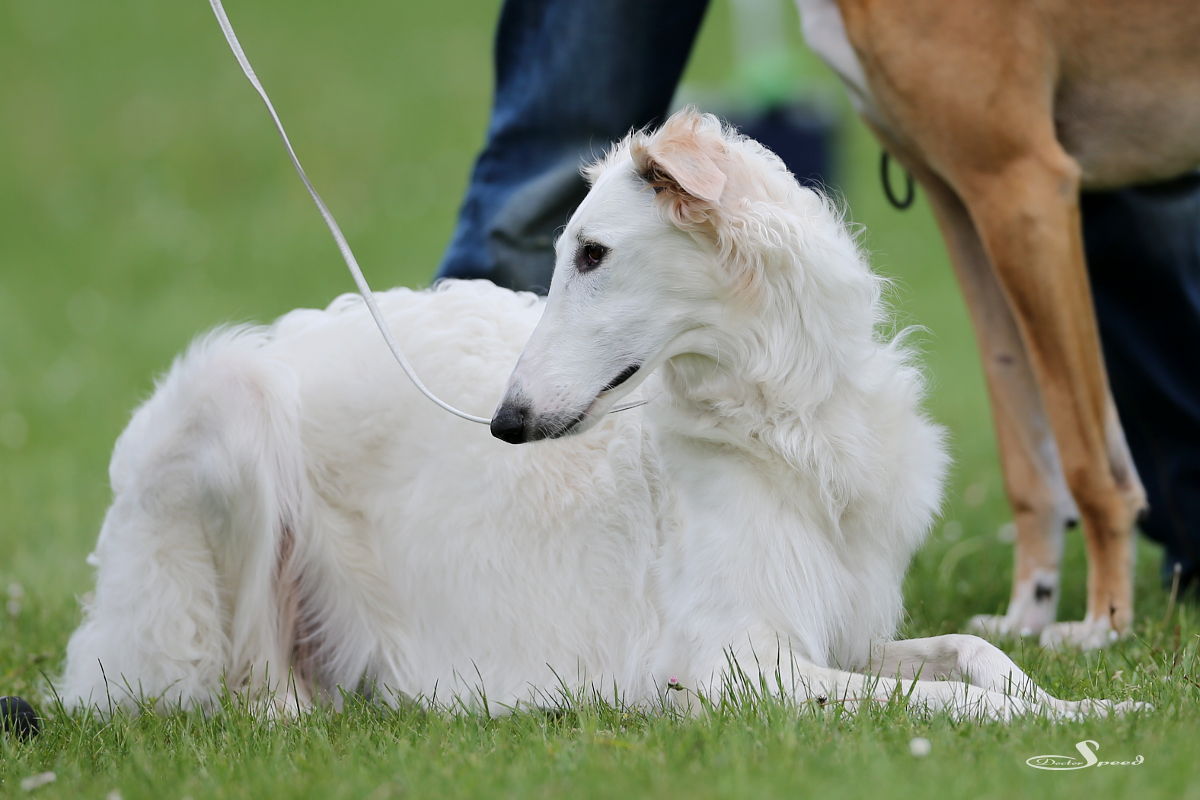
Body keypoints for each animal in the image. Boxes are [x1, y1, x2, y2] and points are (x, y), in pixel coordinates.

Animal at [58, 110, 1133, 720]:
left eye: (593, 253)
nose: (507, 424)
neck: (782, 424)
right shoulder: (728, 668)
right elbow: (951, 697)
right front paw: (1081, 722)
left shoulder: (833, 635)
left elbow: (980, 657)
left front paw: (1097, 702)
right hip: (229, 401)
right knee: (239, 689)